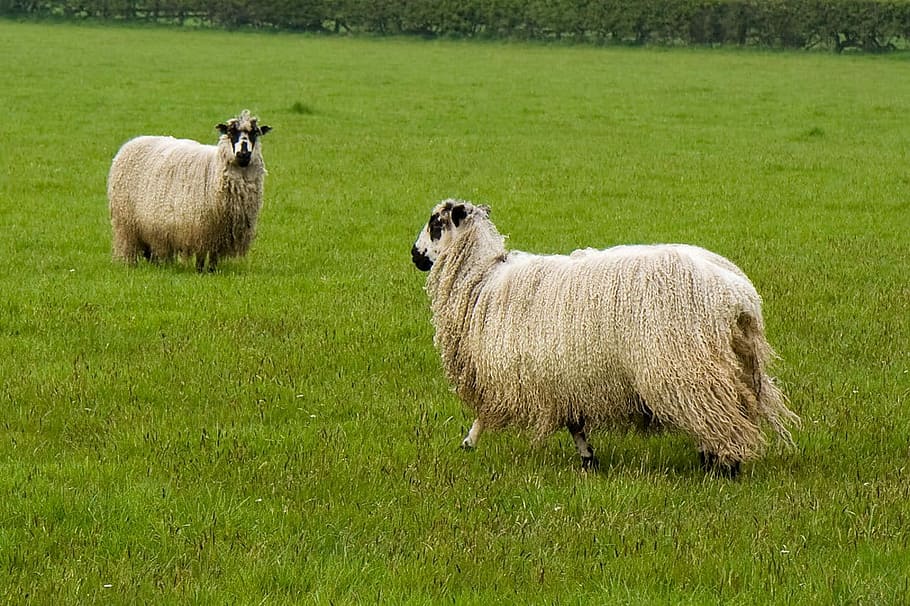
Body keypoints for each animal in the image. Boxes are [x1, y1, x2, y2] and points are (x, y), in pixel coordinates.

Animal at [108, 110, 271, 272]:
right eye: (231, 132)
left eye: (255, 133)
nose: (243, 154)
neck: (214, 169)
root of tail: (133, 142)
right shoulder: (199, 226)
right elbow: (201, 253)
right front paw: (199, 270)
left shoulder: (220, 231)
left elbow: (214, 254)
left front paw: (212, 270)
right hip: (127, 222)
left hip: (147, 224)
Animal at [410, 199, 799, 477]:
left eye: (435, 223)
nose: (414, 255)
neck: (482, 279)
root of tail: (739, 296)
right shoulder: (561, 376)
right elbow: (574, 423)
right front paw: (588, 461)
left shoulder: (521, 371)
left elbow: (484, 413)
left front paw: (468, 442)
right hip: (732, 362)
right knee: (733, 408)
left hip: (684, 366)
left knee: (719, 414)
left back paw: (725, 466)